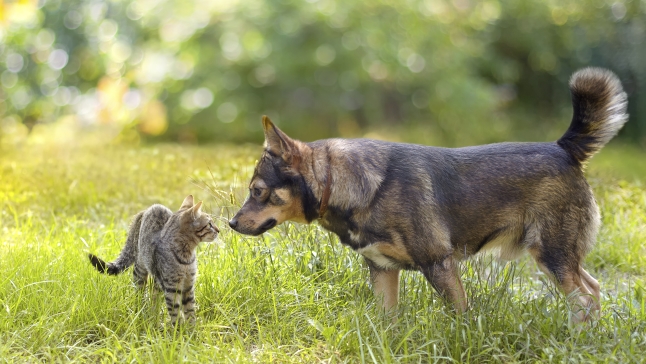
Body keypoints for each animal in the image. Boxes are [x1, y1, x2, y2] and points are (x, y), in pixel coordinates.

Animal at [88, 195, 220, 326]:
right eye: (209, 224)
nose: (218, 230)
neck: (186, 256)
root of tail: (145, 210)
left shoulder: (188, 286)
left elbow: (190, 313)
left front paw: (191, 330)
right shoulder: (172, 288)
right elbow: (176, 314)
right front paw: (179, 330)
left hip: (157, 280)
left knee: (154, 297)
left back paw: (154, 318)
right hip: (140, 271)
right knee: (140, 294)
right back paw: (141, 313)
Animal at [228, 67, 628, 322]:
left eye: (258, 191)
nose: (230, 223)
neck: (354, 186)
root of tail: (563, 148)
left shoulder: (439, 265)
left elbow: (460, 319)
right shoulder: (383, 271)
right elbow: (386, 323)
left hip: (552, 254)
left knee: (586, 298)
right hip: (558, 258)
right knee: (592, 292)